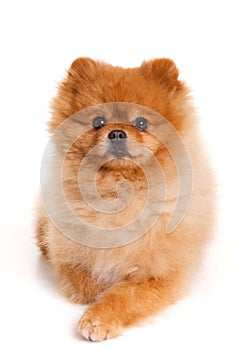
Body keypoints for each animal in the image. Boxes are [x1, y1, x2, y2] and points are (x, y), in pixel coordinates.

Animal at [36, 58, 215, 342]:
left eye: (141, 122)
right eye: (98, 121)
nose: (117, 133)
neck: (118, 192)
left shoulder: (158, 272)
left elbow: (126, 296)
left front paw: (99, 318)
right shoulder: (71, 255)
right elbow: (84, 280)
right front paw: (96, 291)